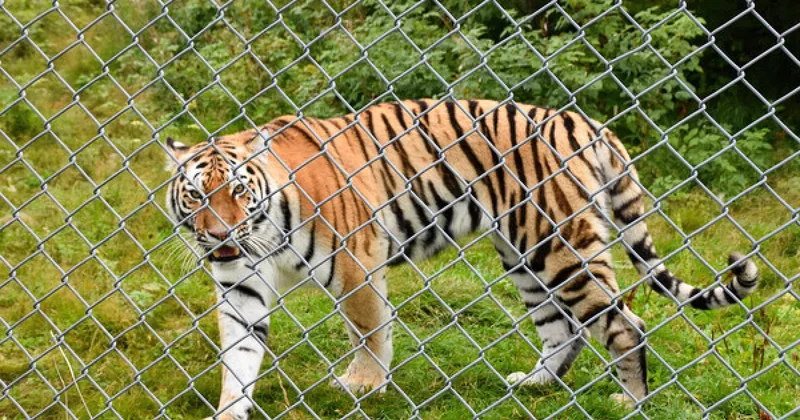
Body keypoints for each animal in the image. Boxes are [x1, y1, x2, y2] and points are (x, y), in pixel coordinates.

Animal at [164, 98, 759, 419]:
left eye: (238, 191)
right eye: (196, 195)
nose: (218, 234)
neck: (260, 231)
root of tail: (589, 124)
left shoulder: (357, 262)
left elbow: (369, 329)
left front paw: (364, 386)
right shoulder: (240, 285)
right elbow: (238, 358)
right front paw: (230, 409)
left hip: (559, 245)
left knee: (623, 323)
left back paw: (629, 403)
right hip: (524, 255)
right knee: (563, 328)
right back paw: (536, 384)